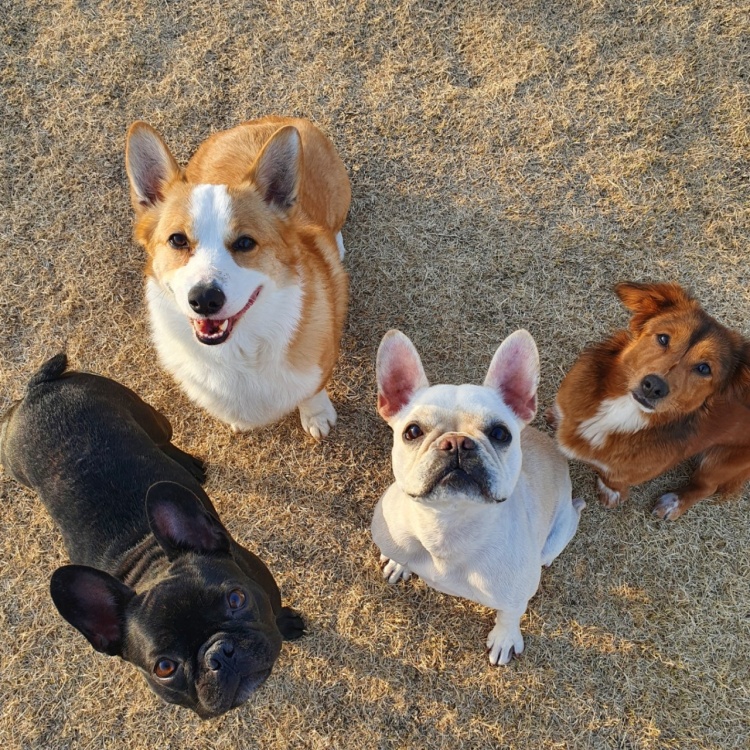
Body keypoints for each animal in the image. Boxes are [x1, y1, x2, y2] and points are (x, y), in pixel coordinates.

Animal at [0, 355, 304, 718]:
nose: (218, 653)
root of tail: (36, 390)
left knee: (163, 439)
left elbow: (276, 610)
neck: (147, 561)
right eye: (164, 668)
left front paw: (287, 624)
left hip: (151, 416)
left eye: (236, 599)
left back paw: (188, 463)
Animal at [125, 116, 350, 439]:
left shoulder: (320, 362)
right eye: (177, 240)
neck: (237, 352)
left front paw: (317, 416)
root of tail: (279, 119)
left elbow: (312, 392)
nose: (205, 299)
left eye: (245, 243)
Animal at [370, 329, 584, 664]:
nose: (457, 443)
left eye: (500, 433)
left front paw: (505, 638)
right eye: (413, 431)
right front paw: (398, 563)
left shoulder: (516, 594)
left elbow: (510, 614)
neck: (447, 525)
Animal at [548, 282, 750, 520]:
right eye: (663, 338)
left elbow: (612, 479)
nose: (654, 386)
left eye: (704, 368)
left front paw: (610, 492)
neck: (622, 410)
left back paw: (674, 503)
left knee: (707, 487)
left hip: (719, 462)